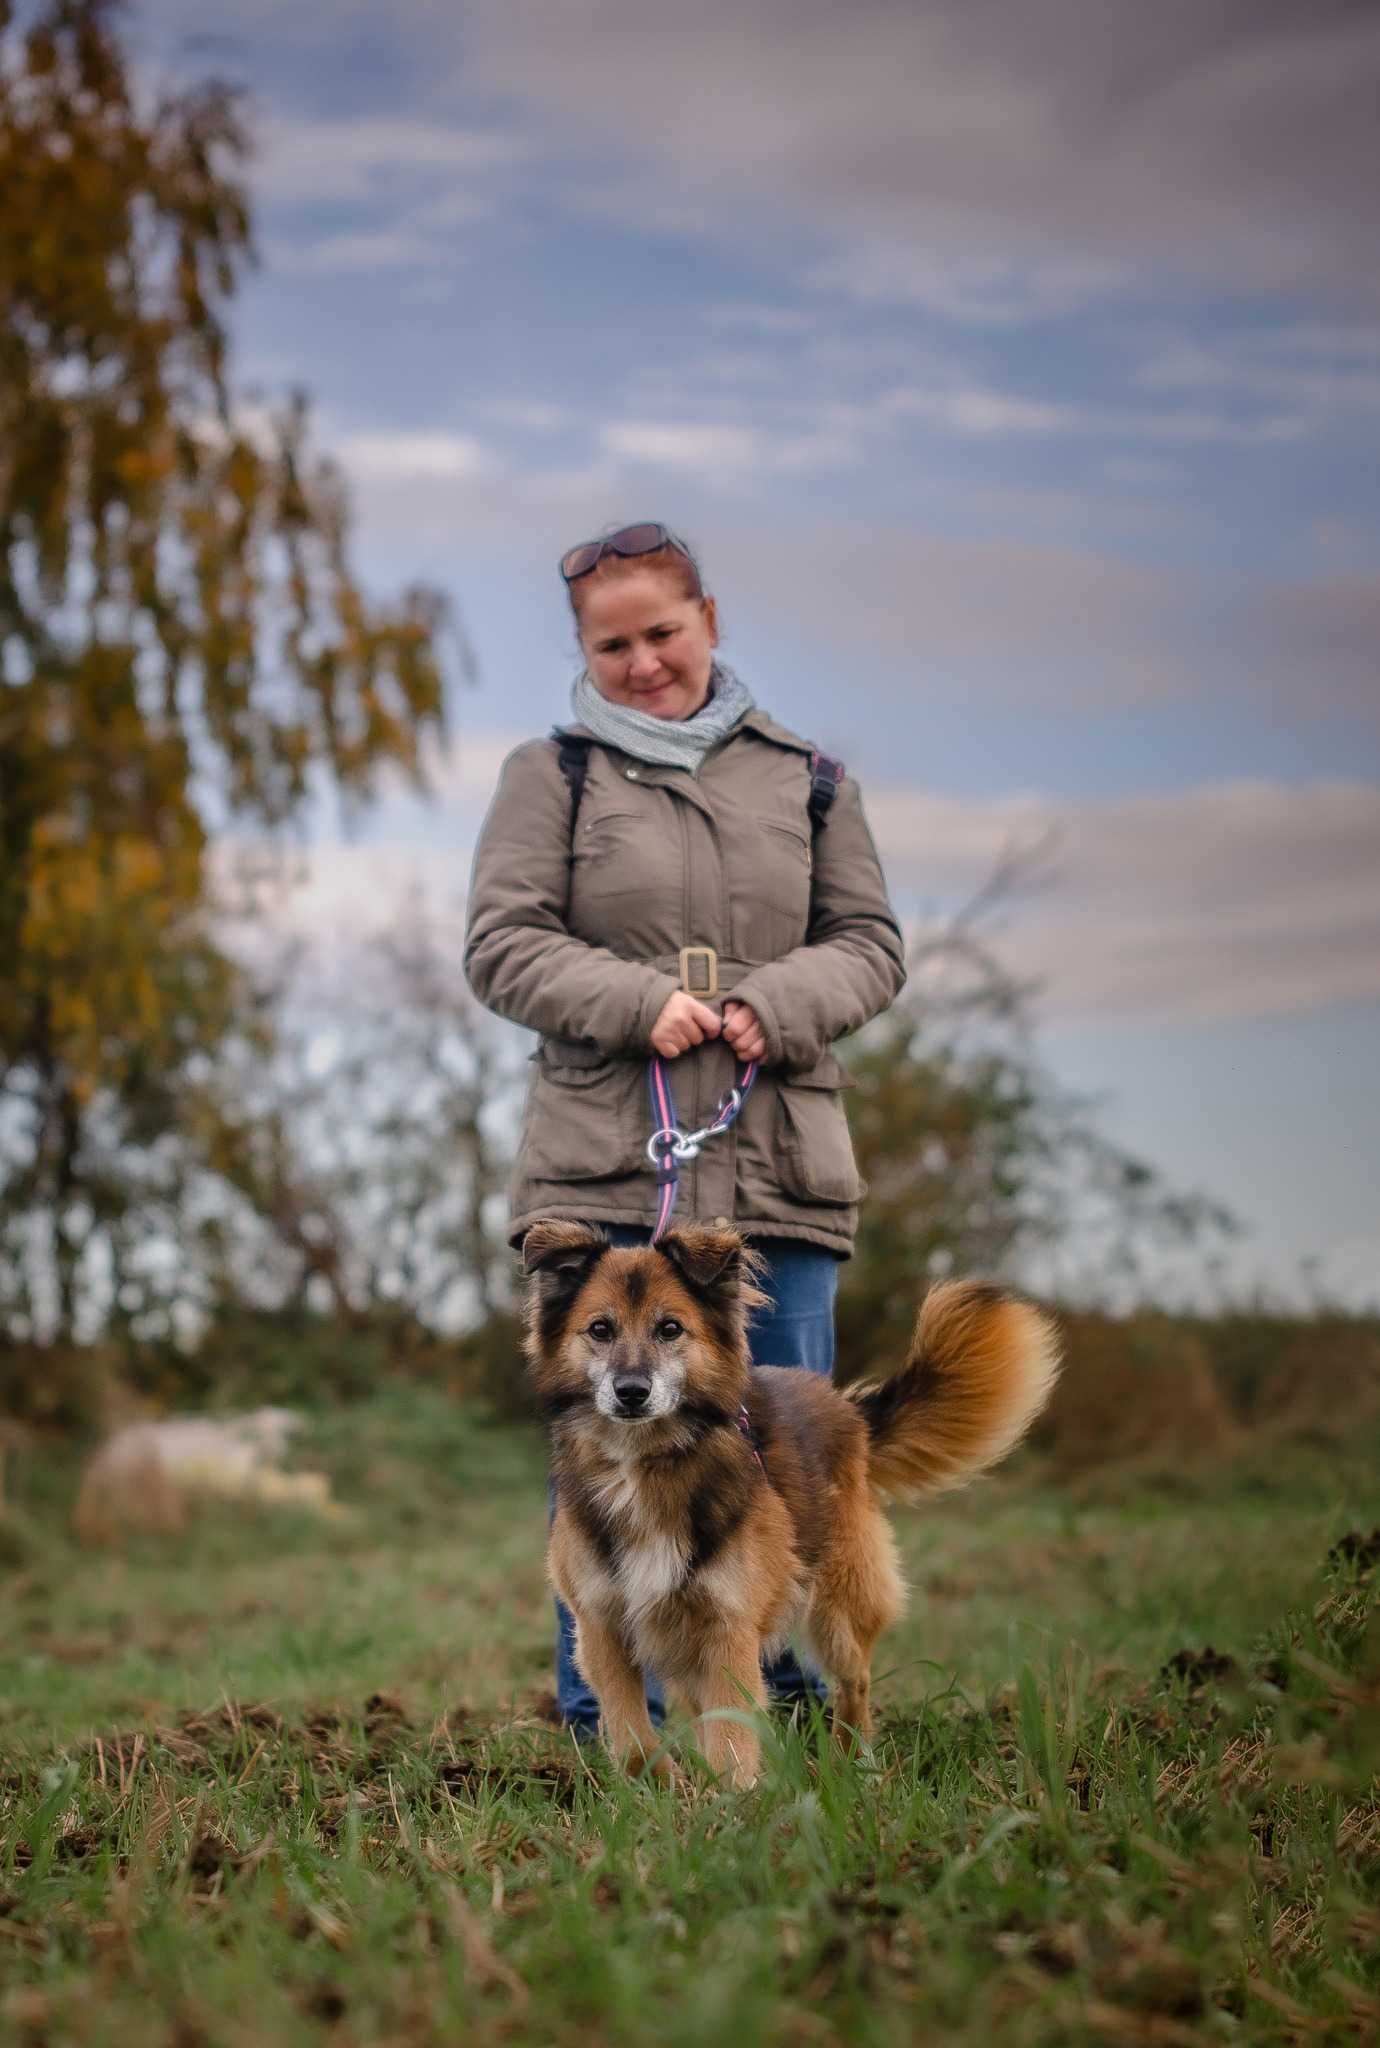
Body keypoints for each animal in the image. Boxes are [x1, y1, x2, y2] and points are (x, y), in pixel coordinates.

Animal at [522, 1220, 1056, 1785]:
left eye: (670, 1329)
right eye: (600, 1329)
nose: (631, 1392)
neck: (644, 1461)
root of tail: (848, 1408)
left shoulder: (728, 1625)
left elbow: (733, 1737)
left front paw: (731, 1800)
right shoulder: (602, 1626)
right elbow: (634, 1738)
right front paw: (666, 1794)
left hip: (840, 1607)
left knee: (854, 1683)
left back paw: (851, 1764)